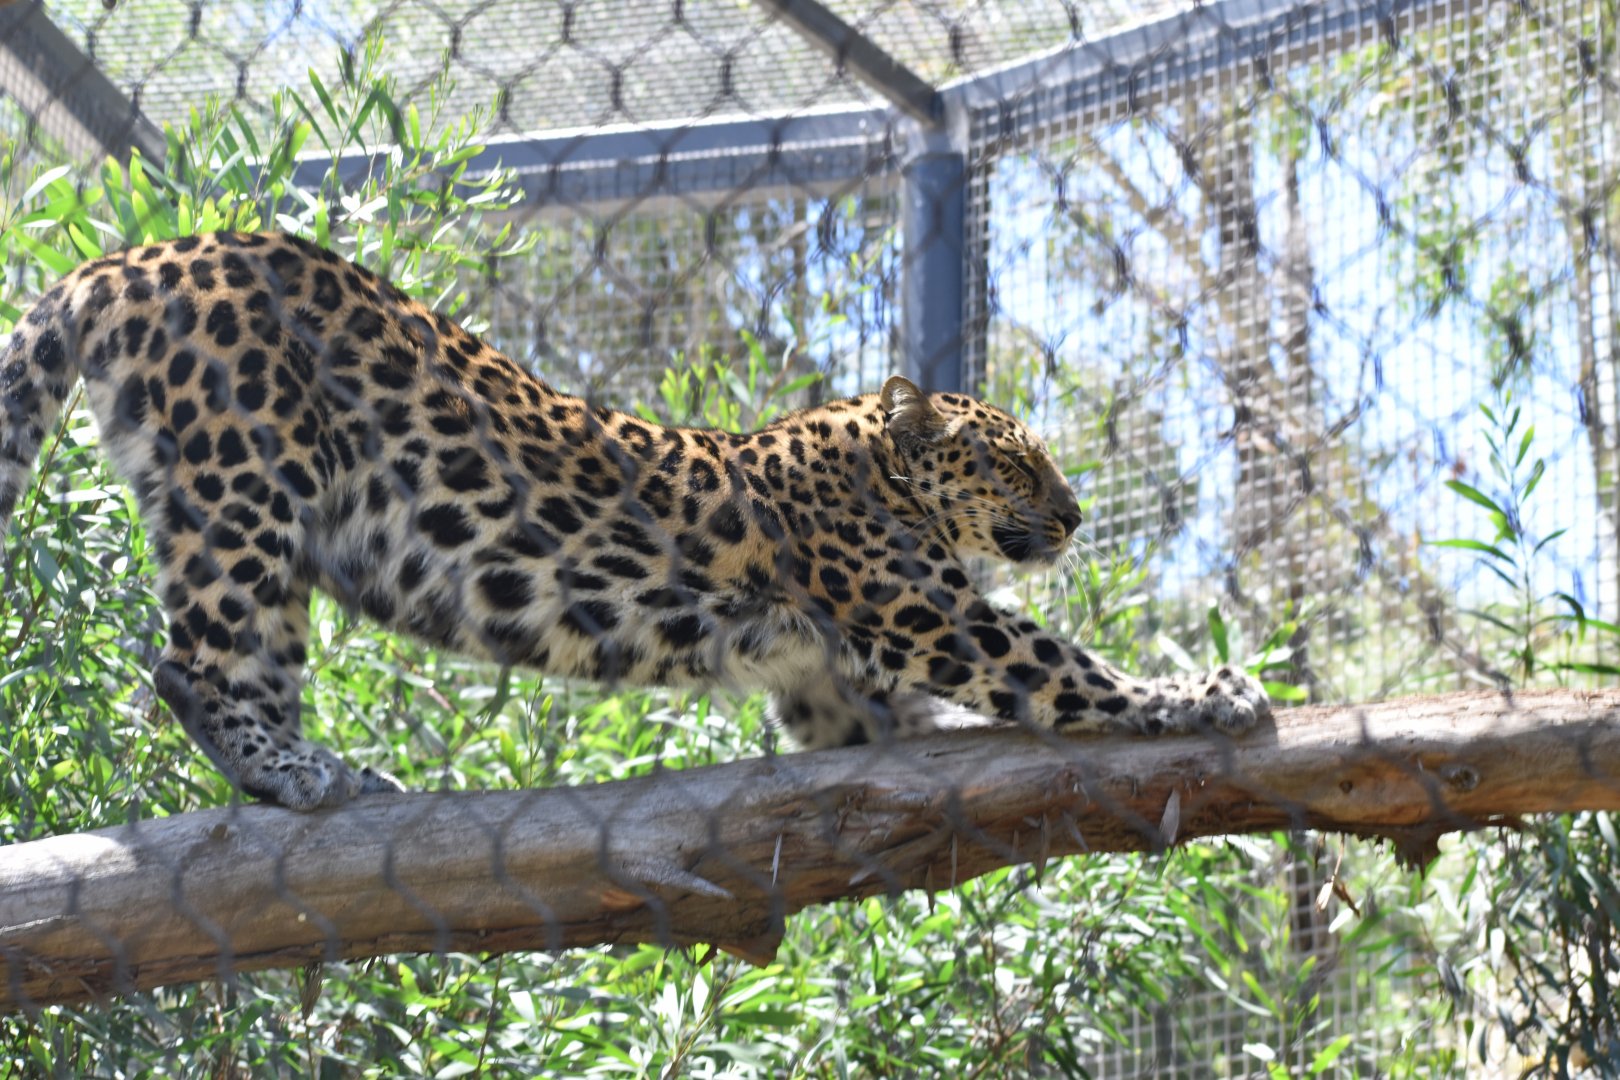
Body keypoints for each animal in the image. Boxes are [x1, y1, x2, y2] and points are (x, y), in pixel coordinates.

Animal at [0, 231, 1269, 811]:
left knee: (245, 658)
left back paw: (323, 776)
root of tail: (129, 260)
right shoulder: (922, 612)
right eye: (1015, 462)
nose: (1078, 514)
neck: (870, 462)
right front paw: (1204, 693)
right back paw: (293, 771)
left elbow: (903, 728)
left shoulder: (832, 685)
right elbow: (1067, 670)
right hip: (246, 477)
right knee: (190, 662)